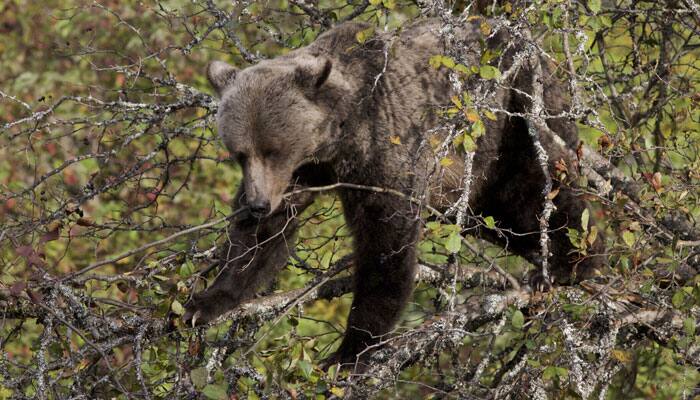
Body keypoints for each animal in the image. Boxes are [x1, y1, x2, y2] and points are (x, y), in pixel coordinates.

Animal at [185, 18, 608, 366]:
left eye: (273, 149)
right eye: (240, 153)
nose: (258, 203)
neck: (337, 138)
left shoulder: (383, 143)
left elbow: (386, 238)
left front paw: (351, 349)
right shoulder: (305, 172)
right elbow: (265, 236)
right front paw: (206, 301)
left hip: (512, 116)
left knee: (538, 187)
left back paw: (573, 261)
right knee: (506, 213)